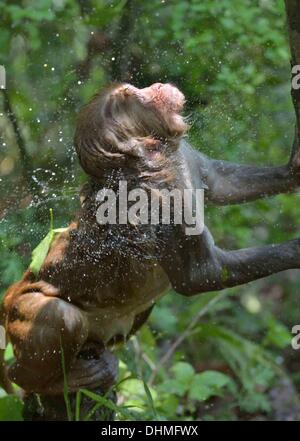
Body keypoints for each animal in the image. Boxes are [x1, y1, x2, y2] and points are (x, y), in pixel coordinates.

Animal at [0, 79, 300, 396]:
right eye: (131, 95)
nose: (156, 85)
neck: (156, 155)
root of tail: (9, 294)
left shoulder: (183, 157)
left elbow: (223, 184)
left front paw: (295, 164)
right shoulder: (160, 199)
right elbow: (200, 275)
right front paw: (296, 251)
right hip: (21, 314)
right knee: (60, 316)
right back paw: (54, 381)